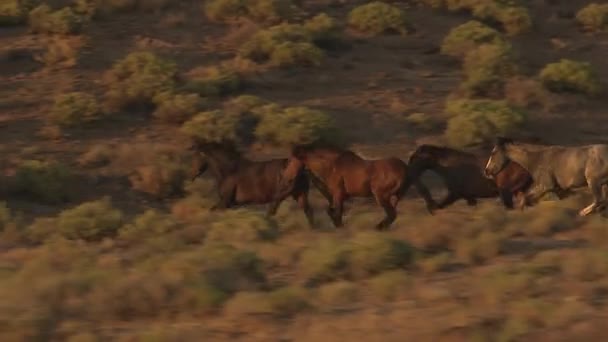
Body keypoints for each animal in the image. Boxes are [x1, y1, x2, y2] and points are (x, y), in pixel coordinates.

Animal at [278, 142, 440, 230]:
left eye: (291, 160)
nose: (285, 178)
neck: (332, 165)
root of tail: (406, 169)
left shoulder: (338, 195)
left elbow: (337, 213)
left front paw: (340, 228)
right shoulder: (340, 196)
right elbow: (333, 211)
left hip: (381, 196)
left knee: (391, 214)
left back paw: (377, 228)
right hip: (395, 196)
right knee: (392, 215)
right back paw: (381, 227)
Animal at [406, 144, 536, 210]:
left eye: (414, 157)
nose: (409, 166)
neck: (445, 164)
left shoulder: (455, 193)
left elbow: (440, 205)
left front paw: (432, 208)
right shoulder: (468, 197)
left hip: (506, 192)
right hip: (518, 191)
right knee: (524, 202)